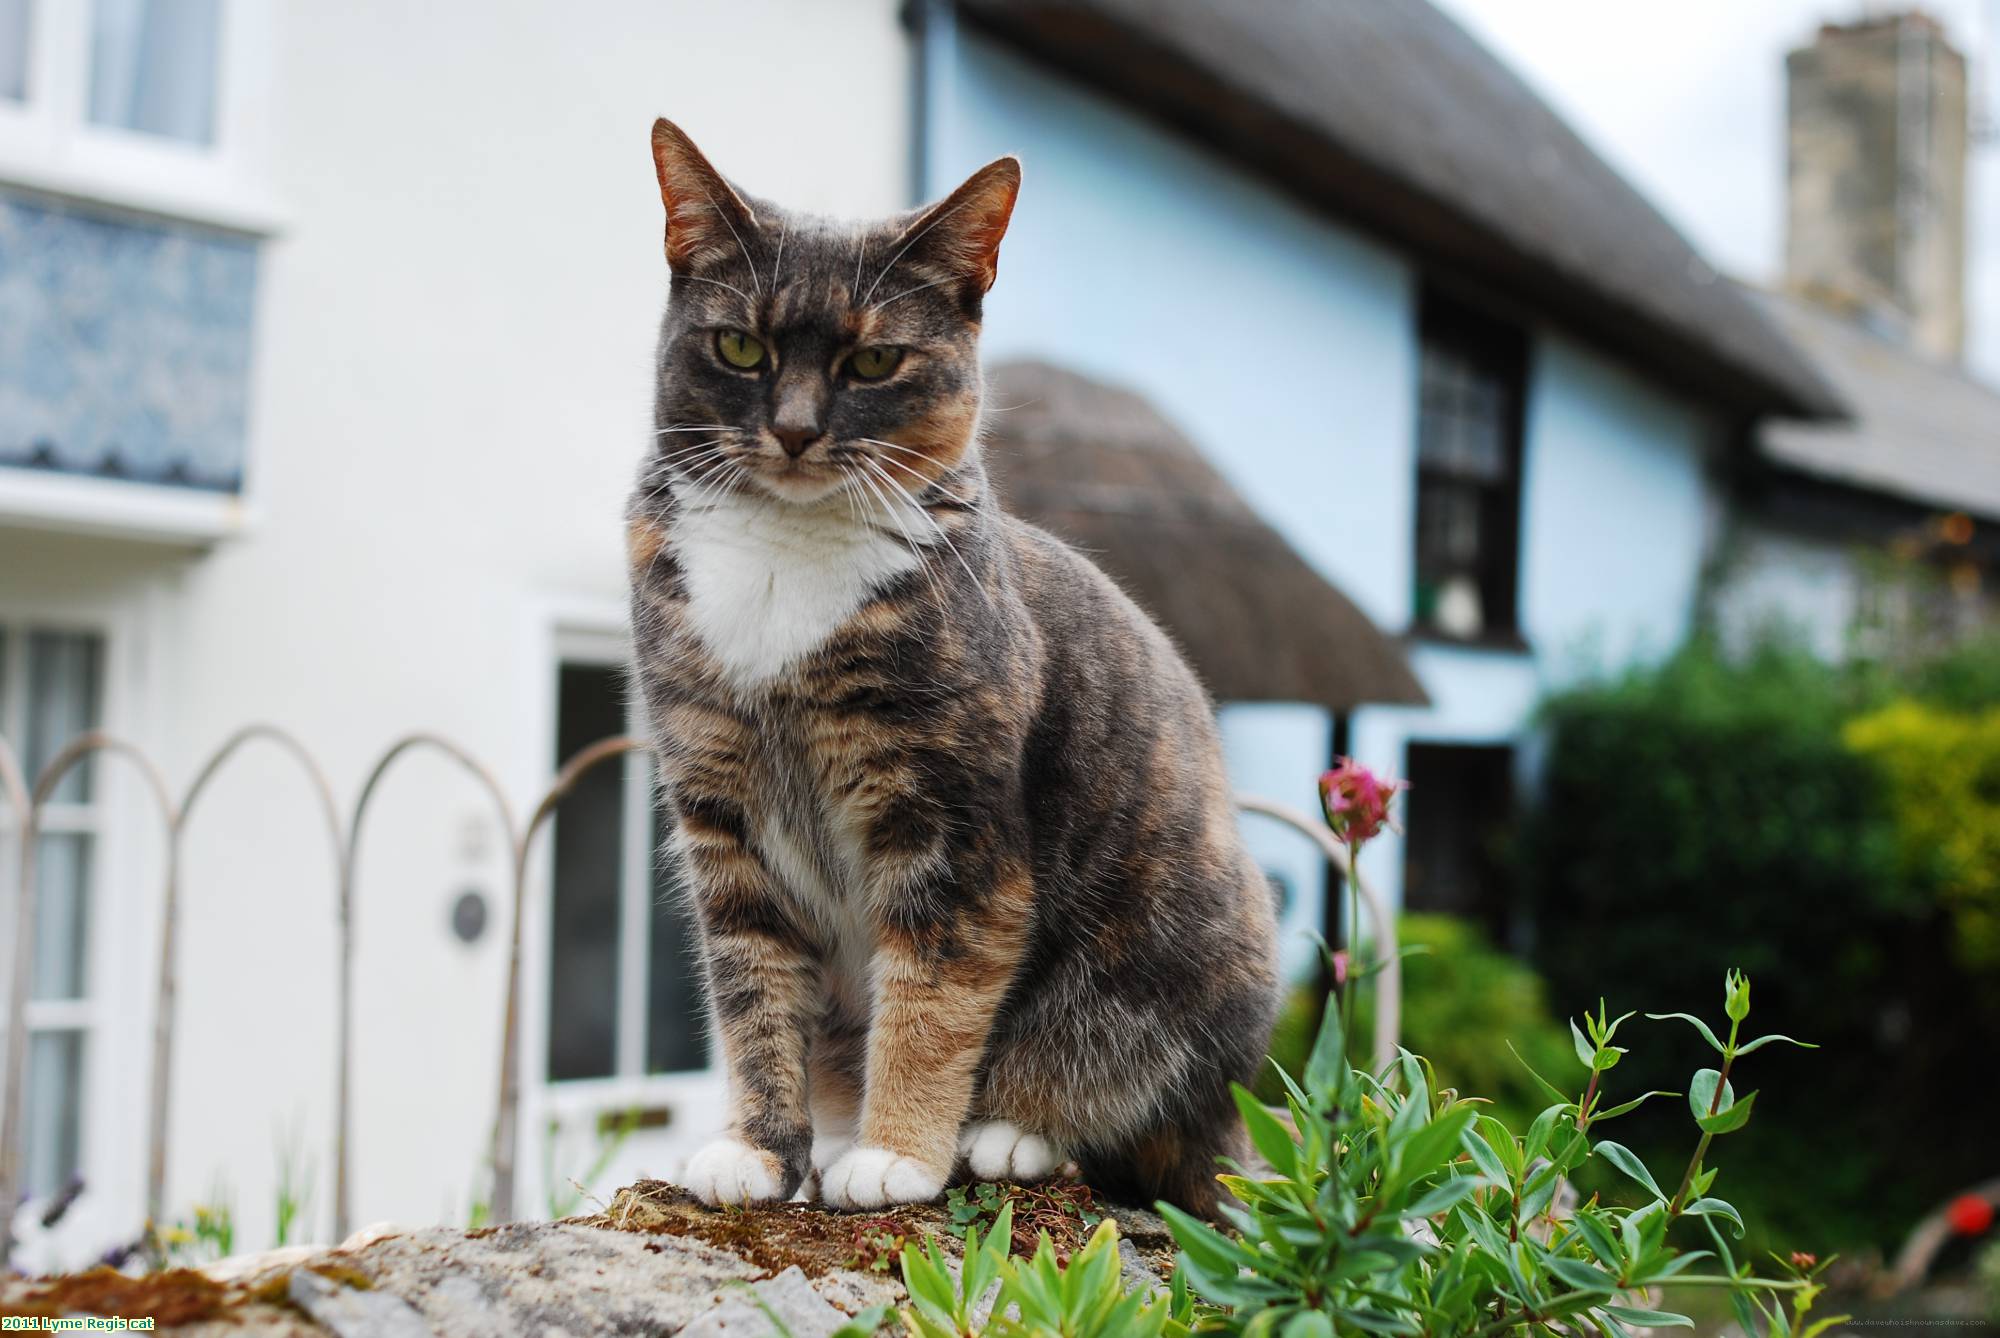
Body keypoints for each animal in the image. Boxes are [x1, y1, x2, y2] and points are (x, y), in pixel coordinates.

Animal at [624, 120, 1280, 1216]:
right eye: (740, 346)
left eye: (874, 360)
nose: (794, 430)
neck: (783, 558)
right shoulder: (720, 814)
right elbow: (752, 991)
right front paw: (761, 1151)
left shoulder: (951, 822)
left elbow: (933, 991)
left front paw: (895, 1152)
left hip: (1191, 946)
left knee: (1131, 1093)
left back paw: (1010, 1132)